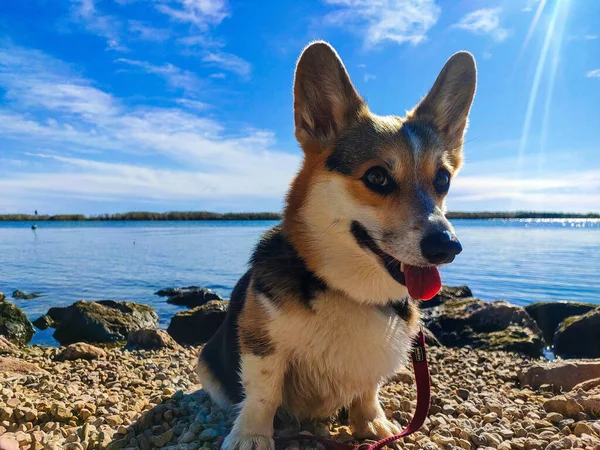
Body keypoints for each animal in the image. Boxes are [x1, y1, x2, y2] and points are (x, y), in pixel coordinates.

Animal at [198, 42, 478, 450]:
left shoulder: (375, 361)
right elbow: (264, 393)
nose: (447, 247)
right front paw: (251, 435)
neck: (349, 290)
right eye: (377, 177)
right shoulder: (261, 343)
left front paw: (372, 424)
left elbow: (367, 391)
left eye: (442, 179)